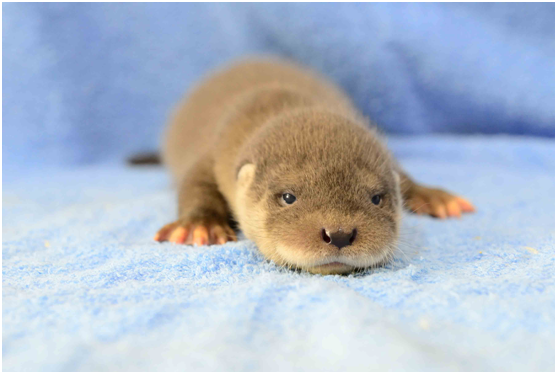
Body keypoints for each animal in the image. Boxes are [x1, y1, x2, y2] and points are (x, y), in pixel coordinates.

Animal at [152, 58, 474, 274]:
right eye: (288, 197)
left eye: (376, 198)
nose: (340, 234)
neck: (278, 100)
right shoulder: (215, 152)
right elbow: (196, 183)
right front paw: (199, 225)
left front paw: (432, 196)